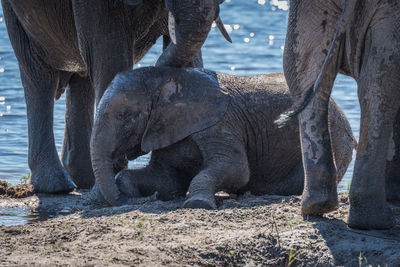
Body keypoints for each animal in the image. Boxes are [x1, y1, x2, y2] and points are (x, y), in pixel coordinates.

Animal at [0, 0, 230, 193]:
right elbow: (110, 50)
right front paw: (116, 164)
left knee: (82, 76)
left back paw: (84, 180)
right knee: (38, 73)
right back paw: (57, 187)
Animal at [90, 67, 354, 209]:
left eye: (125, 116)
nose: (145, 199)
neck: (166, 80)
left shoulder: (220, 123)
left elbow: (236, 169)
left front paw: (197, 204)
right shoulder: (166, 129)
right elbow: (168, 179)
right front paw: (133, 189)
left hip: (334, 139)